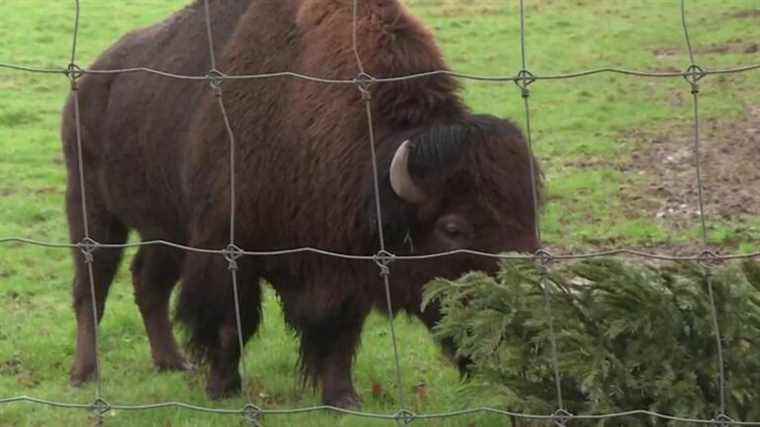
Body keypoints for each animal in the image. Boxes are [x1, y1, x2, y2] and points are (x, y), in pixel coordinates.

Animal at [63, 0, 540, 410]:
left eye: (531, 215)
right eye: (453, 227)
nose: (519, 322)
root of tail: (90, 81)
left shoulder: (345, 266)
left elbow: (339, 334)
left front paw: (344, 398)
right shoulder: (226, 249)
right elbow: (230, 325)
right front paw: (223, 388)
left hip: (164, 229)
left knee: (148, 283)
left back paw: (172, 363)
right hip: (93, 211)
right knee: (92, 288)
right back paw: (85, 373)